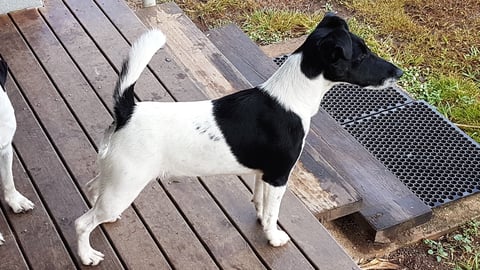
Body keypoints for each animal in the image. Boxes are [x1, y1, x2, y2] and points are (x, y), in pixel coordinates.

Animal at [76, 13, 404, 264]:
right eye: (362, 55)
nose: (398, 72)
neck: (291, 94)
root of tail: (127, 110)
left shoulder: (263, 174)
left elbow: (260, 202)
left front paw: (260, 217)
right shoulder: (278, 176)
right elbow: (273, 212)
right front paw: (273, 237)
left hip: (115, 178)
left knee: (93, 190)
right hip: (125, 185)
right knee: (82, 223)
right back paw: (87, 255)